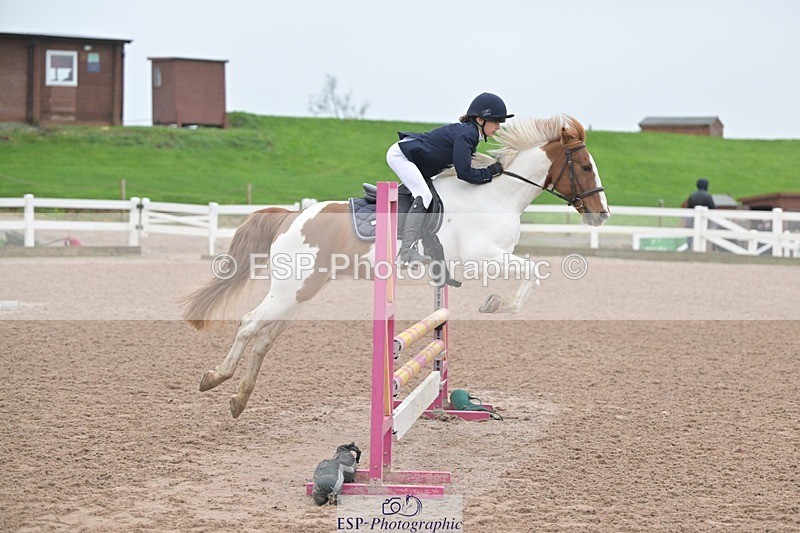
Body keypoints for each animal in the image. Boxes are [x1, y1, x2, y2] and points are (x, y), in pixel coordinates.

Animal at [181, 115, 610, 418]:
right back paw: (215, 378)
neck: (496, 196)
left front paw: (495, 304)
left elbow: (533, 275)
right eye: (586, 167)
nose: (601, 214)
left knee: (265, 337)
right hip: (290, 289)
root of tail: (291, 216)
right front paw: (494, 304)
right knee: (249, 323)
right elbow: (534, 275)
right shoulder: (483, 258)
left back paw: (239, 399)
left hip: (299, 293)